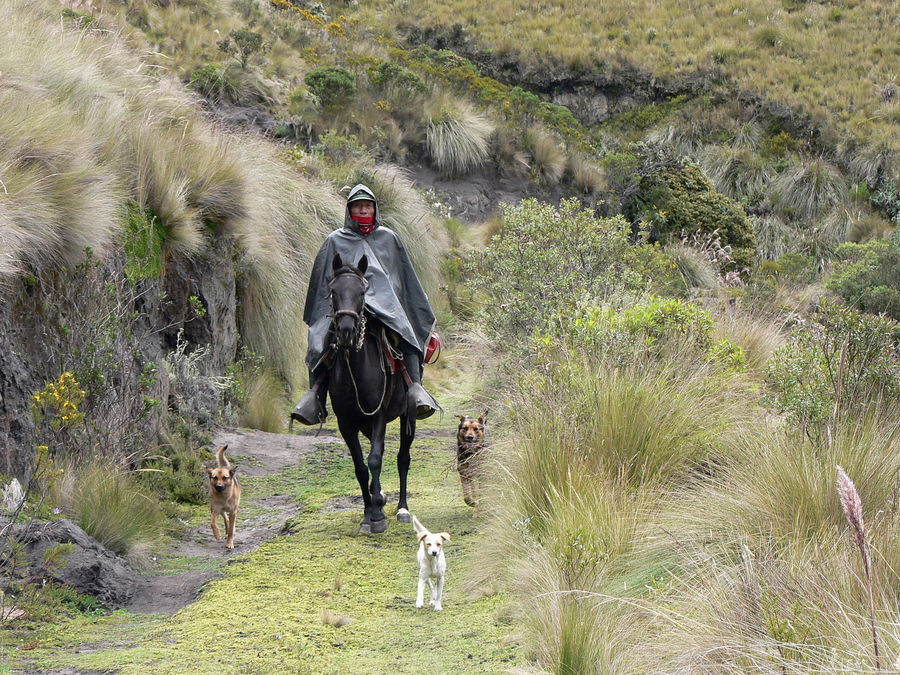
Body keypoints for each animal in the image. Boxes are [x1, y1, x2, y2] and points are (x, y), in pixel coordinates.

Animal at [328, 254, 416, 532]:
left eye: (362, 291)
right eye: (333, 291)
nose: (346, 332)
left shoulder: (379, 416)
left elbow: (375, 459)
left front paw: (378, 515)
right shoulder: (346, 423)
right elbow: (360, 467)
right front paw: (369, 512)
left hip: (408, 416)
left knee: (403, 458)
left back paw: (401, 508)